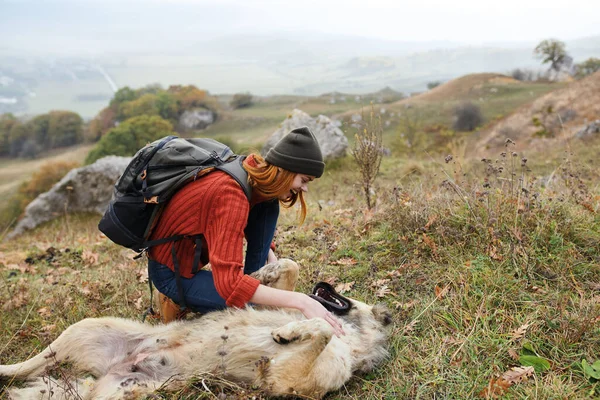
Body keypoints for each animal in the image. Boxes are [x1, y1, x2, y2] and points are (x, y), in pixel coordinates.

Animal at [0, 260, 392, 400]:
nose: (324, 282)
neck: (354, 336)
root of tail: (109, 373)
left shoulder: (290, 382)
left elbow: (321, 331)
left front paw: (289, 333)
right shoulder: (275, 304)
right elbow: (291, 278)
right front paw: (268, 271)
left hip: (122, 392)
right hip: (86, 328)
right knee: (27, 365)